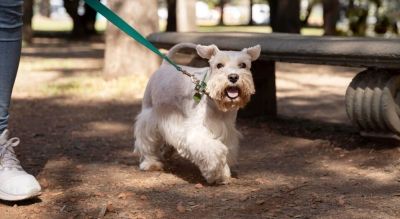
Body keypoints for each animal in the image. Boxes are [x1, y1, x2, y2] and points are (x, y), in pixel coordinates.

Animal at [134, 42, 260, 183]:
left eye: (243, 65)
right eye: (219, 65)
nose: (233, 77)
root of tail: (164, 66)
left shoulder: (227, 130)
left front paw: (223, 174)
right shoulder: (197, 131)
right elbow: (214, 151)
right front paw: (217, 173)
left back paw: (166, 151)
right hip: (150, 114)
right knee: (146, 140)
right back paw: (150, 163)